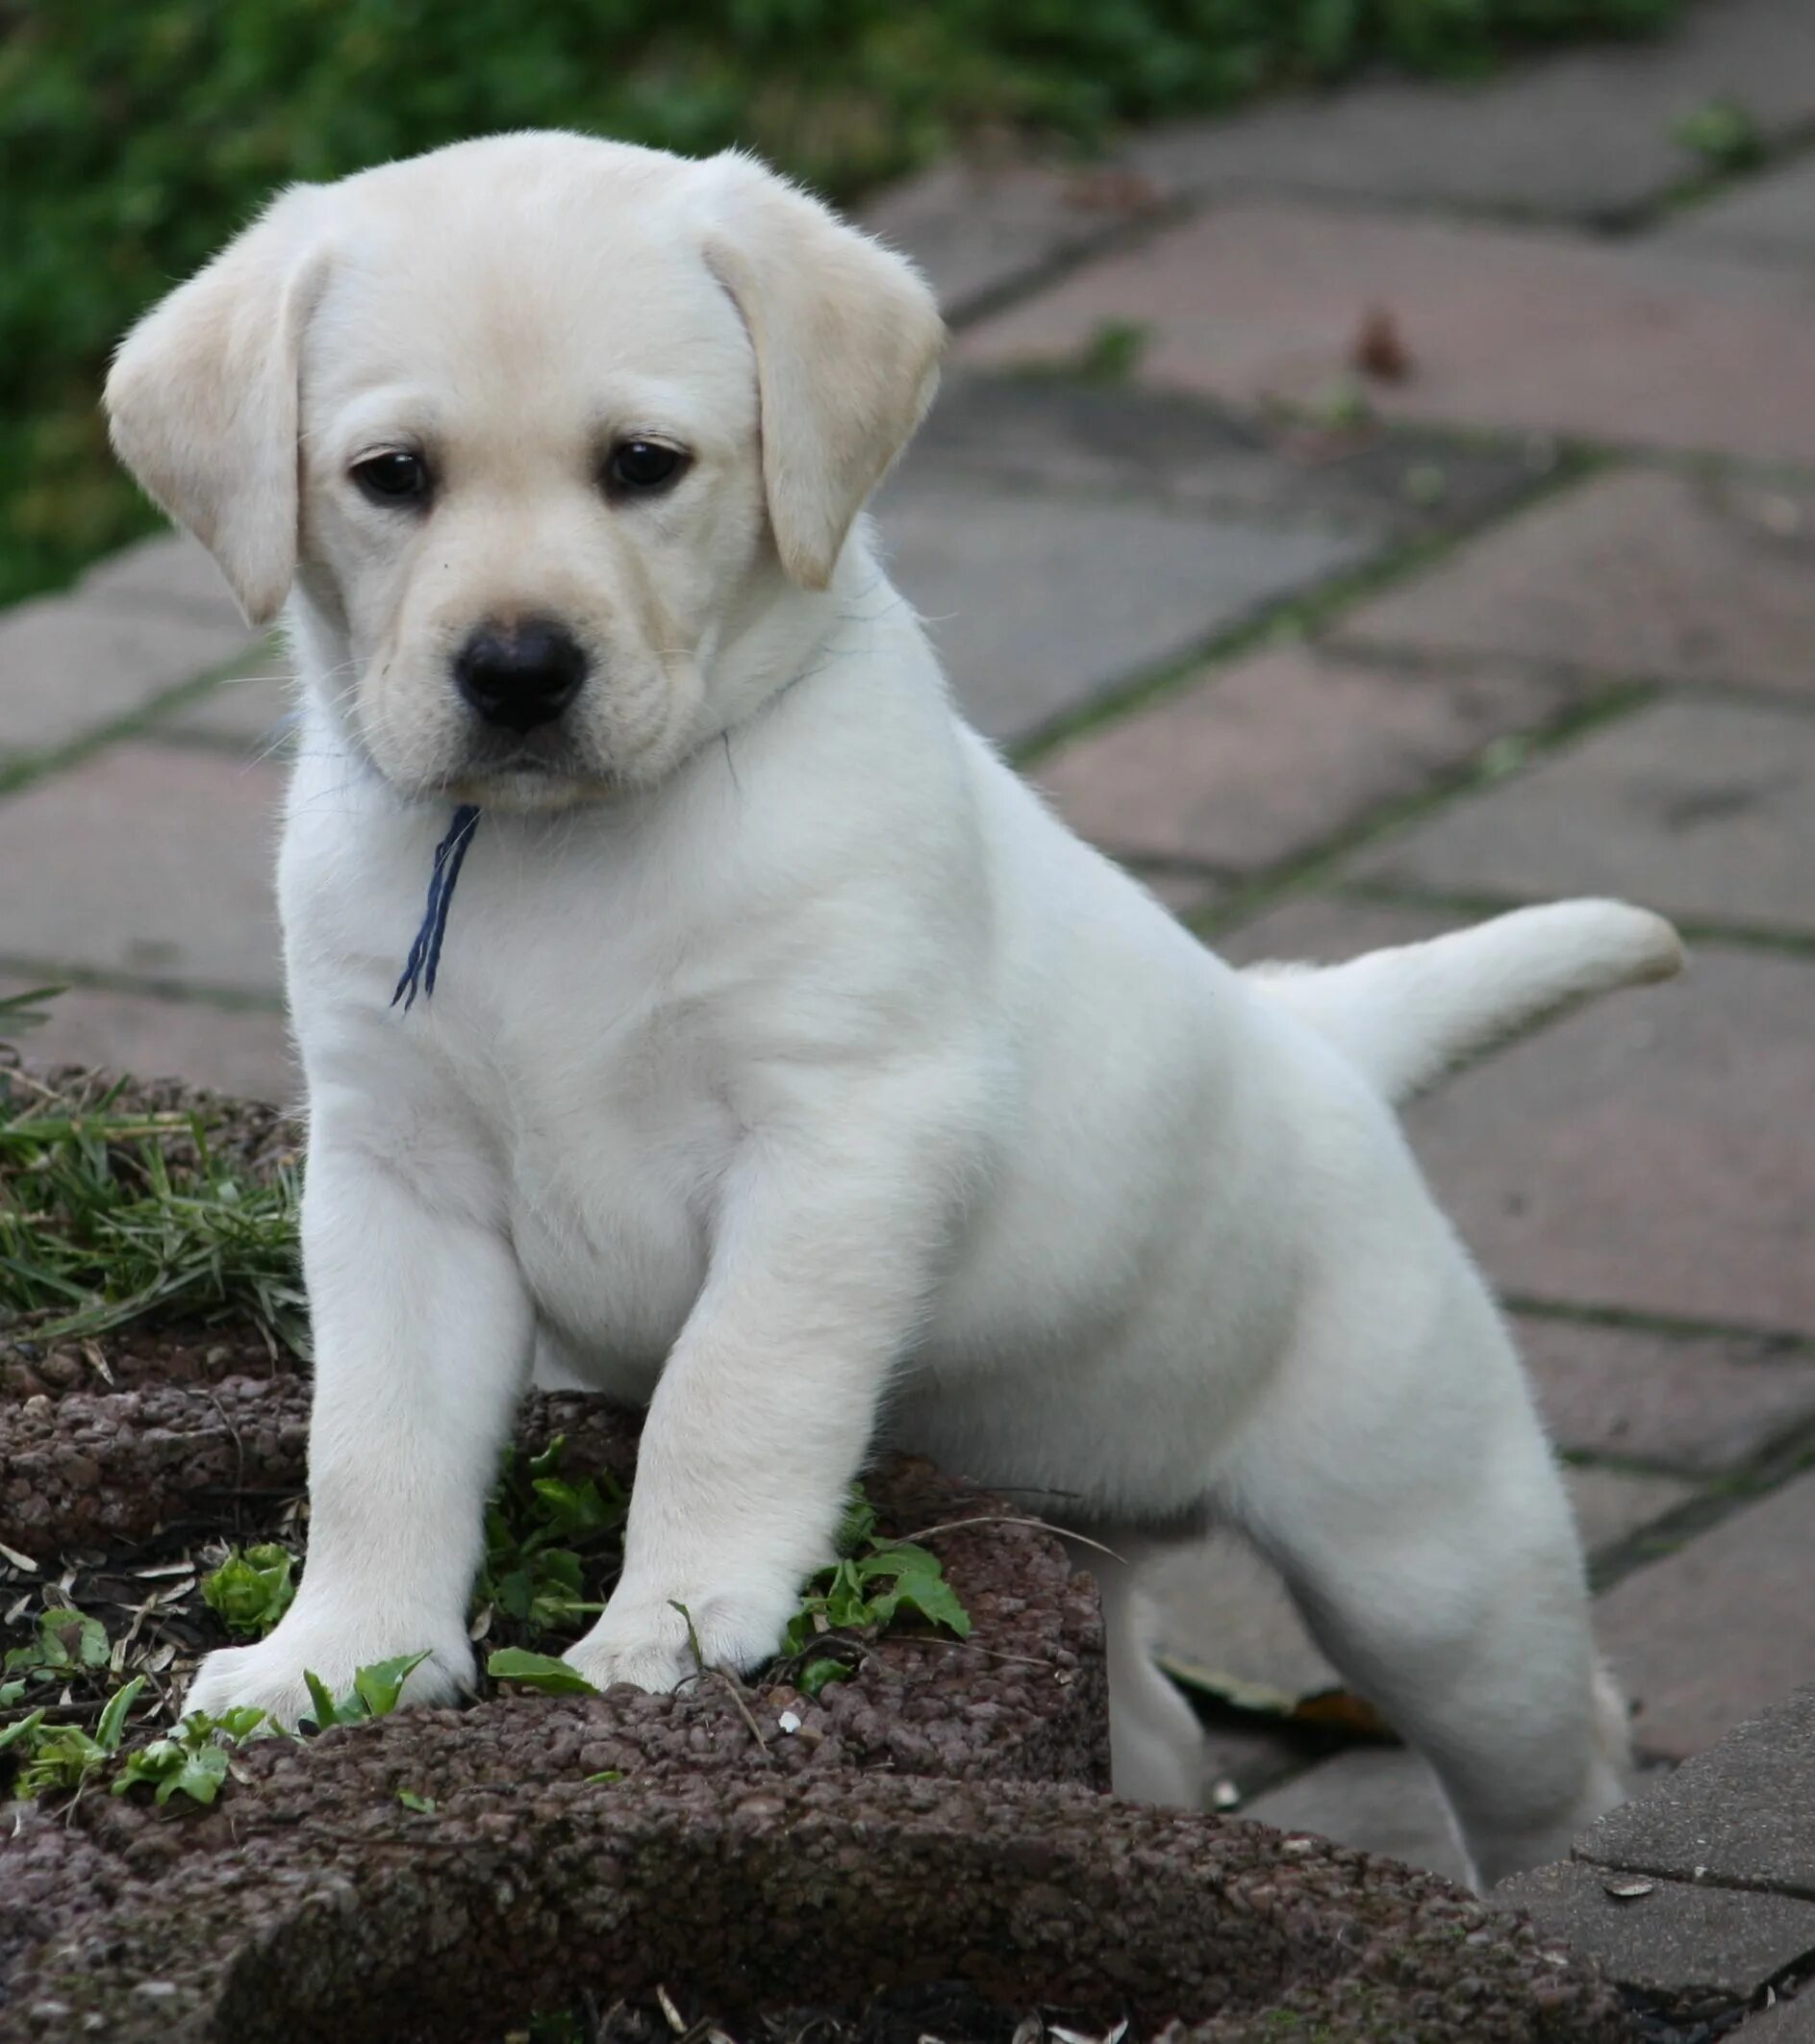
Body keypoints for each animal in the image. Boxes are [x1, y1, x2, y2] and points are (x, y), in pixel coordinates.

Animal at [106, 127, 1684, 1880]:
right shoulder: (396, 1173)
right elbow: (373, 1440)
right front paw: (336, 1657)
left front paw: (669, 1620)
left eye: (643, 465)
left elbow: (727, 1393)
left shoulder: (843, 1136)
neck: (557, 860)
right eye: (390, 477)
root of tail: (1313, 1035)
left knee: (1556, 1752)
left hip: (1429, 1556)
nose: (517, 669)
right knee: (1158, 1728)